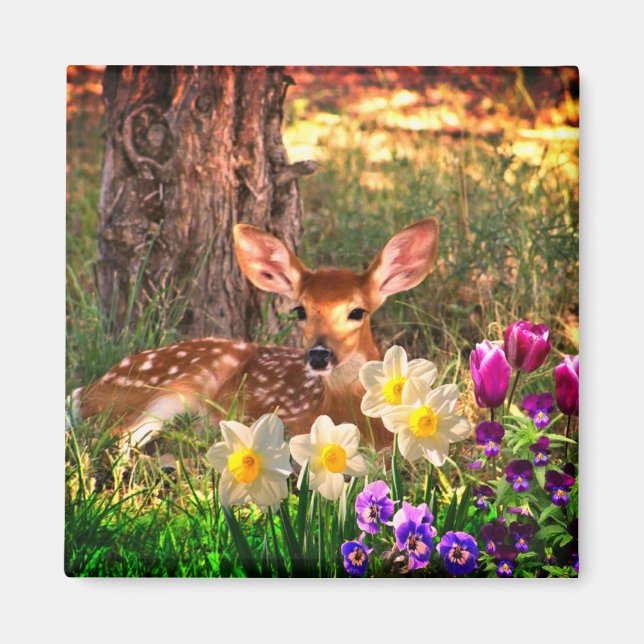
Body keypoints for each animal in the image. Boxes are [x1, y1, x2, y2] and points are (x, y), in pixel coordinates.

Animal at [71, 217, 439, 452]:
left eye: (357, 311)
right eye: (300, 310)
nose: (319, 354)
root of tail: (88, 389)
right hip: (165, 389)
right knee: (114, 439)